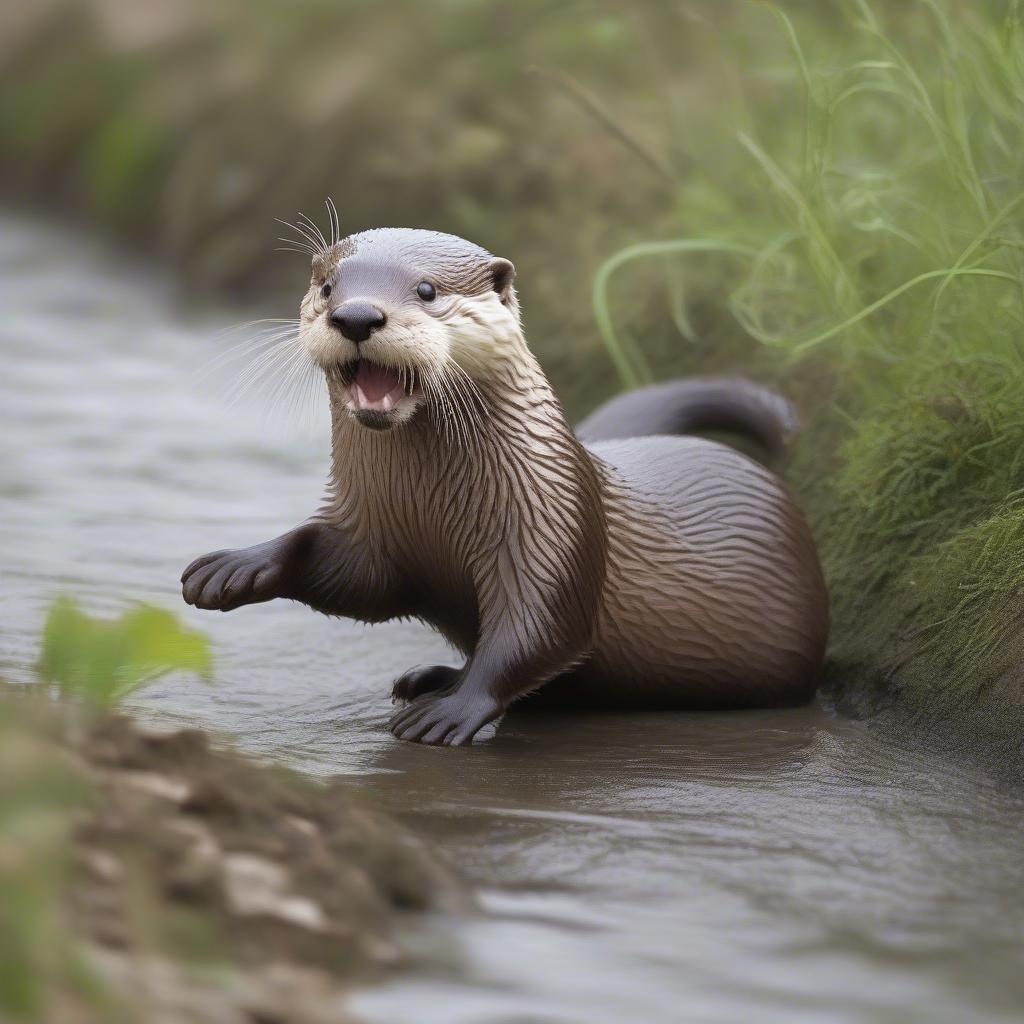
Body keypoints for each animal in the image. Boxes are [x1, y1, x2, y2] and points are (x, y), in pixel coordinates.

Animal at [180, 226, 827, 745]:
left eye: (426, 291)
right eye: (328, 287)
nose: (357, 316)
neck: (431, 510)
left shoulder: (552, 528)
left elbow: (536, 630)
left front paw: (454, 711)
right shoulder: (374, 534)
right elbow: (350, 575)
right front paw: (238, 564)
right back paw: (426, 677)